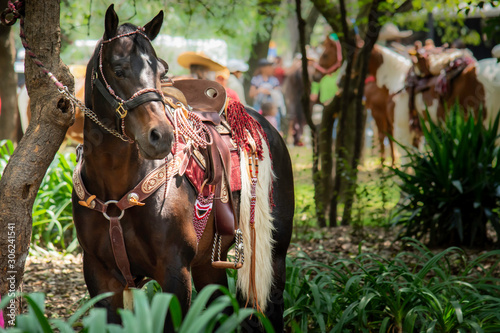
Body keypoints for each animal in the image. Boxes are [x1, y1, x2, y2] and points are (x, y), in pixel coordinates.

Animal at [72, 5, 294, 330]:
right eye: (118, 69)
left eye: (161, 71)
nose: (160, 135)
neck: (117, 187)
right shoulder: (100, 276)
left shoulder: (175, 273)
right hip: (208, 265)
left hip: (275, 254)